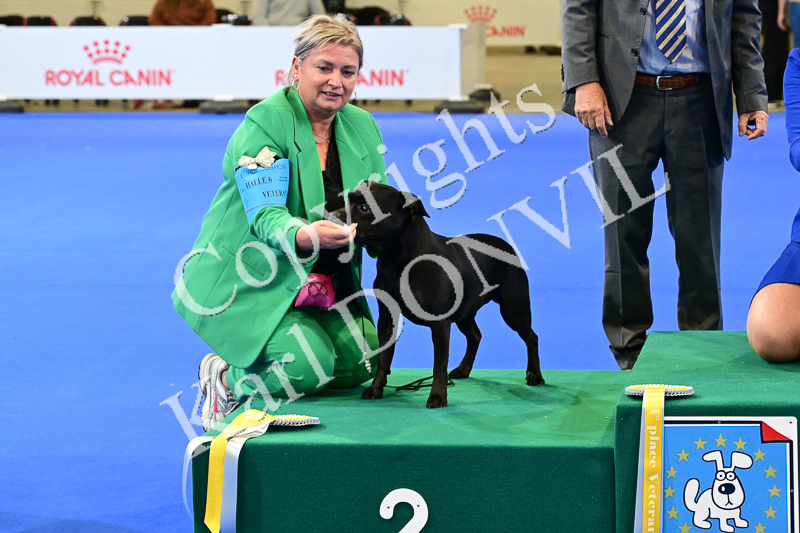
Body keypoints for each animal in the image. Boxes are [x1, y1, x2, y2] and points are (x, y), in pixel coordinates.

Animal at [331, 181, 544, 408]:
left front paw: (438, 396)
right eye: (348, 200)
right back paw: (463, 369)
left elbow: (439, 363)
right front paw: (375, 389)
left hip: (514, 309)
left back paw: (535, 375)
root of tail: (507, 246)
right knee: (475, 336)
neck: (398, 257)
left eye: (364, 208)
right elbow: (384, 357)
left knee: (531, 337)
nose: (332, 215)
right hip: (465, 313)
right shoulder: (388, 319)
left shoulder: (440, 323)